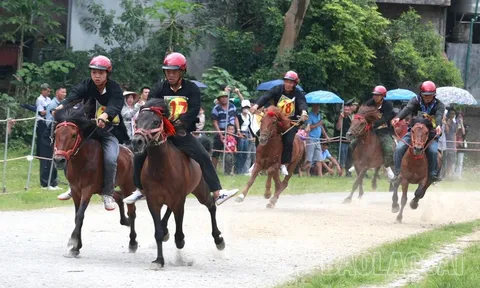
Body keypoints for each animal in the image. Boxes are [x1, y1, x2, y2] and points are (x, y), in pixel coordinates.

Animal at [53, 102, 138, 258]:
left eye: (73, 135)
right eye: (56, 134)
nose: (59, 160)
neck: (82, 160)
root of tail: (130, 152)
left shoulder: (87, 189)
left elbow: (80, 215)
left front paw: (73, 244)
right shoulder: (76, 190)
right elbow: (77, 216)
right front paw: (77, 246)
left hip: (128, 185)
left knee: (132, 211)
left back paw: (133, 242)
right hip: (103, 188)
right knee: (118, 197)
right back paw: (123, 219)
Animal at [129, 99, 223, 270]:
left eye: (156, 121)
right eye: (137, 121)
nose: (136, 141)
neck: (161, 169)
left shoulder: (179, 200)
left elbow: (179, 234)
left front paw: (179, 241)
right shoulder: (153, 201)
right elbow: (158, 232)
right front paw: (159, 260)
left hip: (201, 191)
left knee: (211, 206)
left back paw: (219, 239)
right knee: (168, 213)